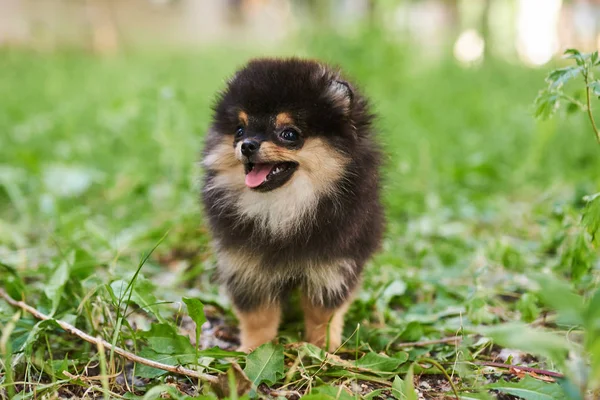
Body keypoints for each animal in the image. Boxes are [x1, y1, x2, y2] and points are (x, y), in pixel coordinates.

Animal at [199, 57, 382, 352]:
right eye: (239, 130)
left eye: (289, 134)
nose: (247, 145)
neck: (284, 207)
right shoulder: (247, 265)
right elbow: (258, 316)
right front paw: (253, 350)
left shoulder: (333, 265)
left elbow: (323, 315)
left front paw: (324, 350)